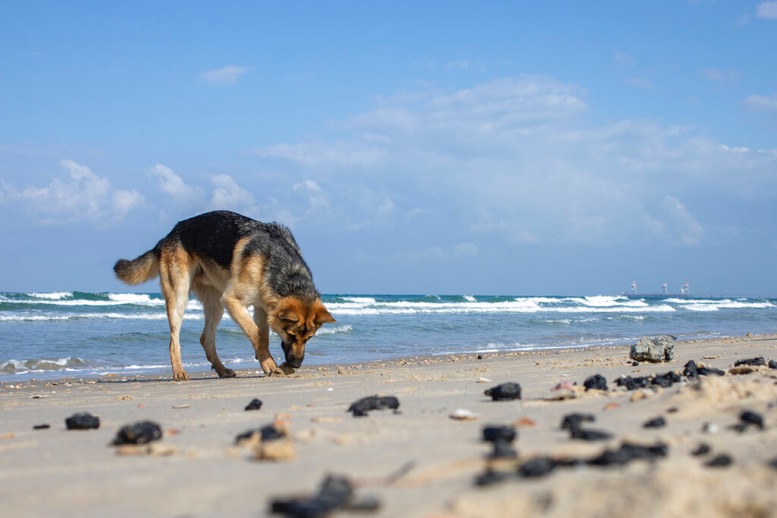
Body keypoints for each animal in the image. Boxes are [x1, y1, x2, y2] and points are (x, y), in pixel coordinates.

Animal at [113, 211, 334, 382]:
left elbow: (262, 335)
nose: (296, 364)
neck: (285, 270)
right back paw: (179, 372)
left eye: (309, 338)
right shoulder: (233, 300)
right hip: (180, 297)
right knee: (173, 340)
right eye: (292, 335)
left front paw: (266, 361)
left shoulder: (262, 307)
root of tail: (170, 234)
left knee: (206, 339)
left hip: (215, 305)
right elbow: (257, 334)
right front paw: (270, 364)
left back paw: (221, 369)